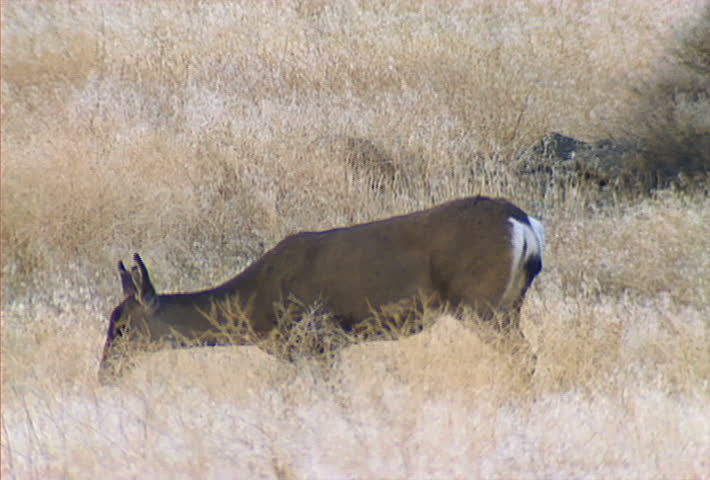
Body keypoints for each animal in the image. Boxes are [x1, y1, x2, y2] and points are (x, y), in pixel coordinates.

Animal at [98, 196, 544, 384]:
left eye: (120, 326)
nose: (104, 373)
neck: (256, 303)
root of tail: (522, 221)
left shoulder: (318, 337)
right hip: (509, 301)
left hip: (480, 303)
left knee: (523, 356)